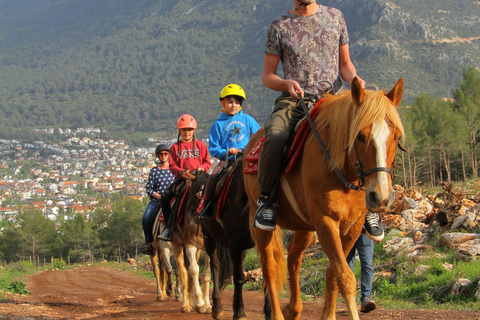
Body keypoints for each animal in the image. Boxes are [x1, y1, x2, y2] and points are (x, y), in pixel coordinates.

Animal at [171, 171, 212, 314]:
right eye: (195, 196)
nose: (202, 216)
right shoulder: (190, 244)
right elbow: (194, 270)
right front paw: (200, 303)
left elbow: (206, 274)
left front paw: (208, 305)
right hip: (176, 245)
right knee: (183, 271)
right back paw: (186, 305)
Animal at [244, 78, 404, 320]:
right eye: (360, 136)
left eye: (395, 137)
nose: (381, 196)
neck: (340, 171)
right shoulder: (326, 222)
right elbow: (345, 277)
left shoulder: (353, 226)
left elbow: (333, 274)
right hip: (260, 220)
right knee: (269, 266)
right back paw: (280, 313)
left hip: (304, 226)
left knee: (293, 256)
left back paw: (293, 308)